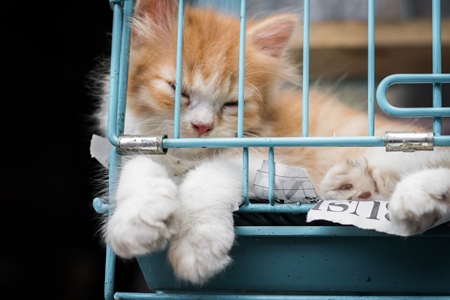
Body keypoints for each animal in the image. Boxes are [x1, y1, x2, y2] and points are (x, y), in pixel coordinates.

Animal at [92, 0, 450, 286]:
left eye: (233, 104)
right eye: (177, 89)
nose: (202, 126)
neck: (189, 157)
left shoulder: (267, 163)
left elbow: (206, 177)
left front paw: (197, 246)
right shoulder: (135, 144)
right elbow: (139, 167)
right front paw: (137, 220)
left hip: (398, 146)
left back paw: (410, 194)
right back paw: (365, 188)